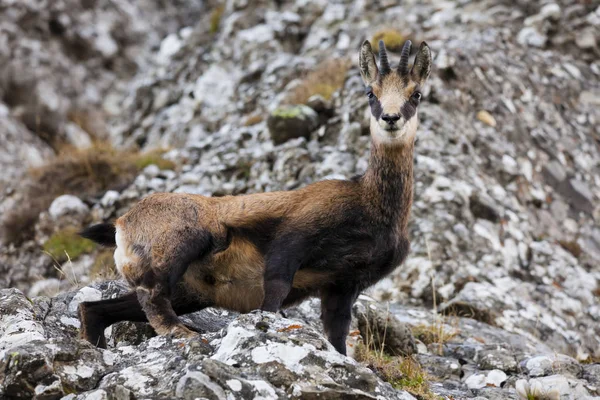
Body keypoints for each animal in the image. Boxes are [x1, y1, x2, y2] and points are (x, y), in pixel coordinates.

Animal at [81, 39, 432, 354]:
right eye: (371, 93)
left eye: (416, 94)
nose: (390, 118)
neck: (369, 204)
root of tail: (121, 223)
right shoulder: (295, 236)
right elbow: (274, 291)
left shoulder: (344, 283)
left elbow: (337, 330)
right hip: (185, 241)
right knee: (152, 295)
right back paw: (181, 333)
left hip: (188, 292)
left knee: (95, 309)